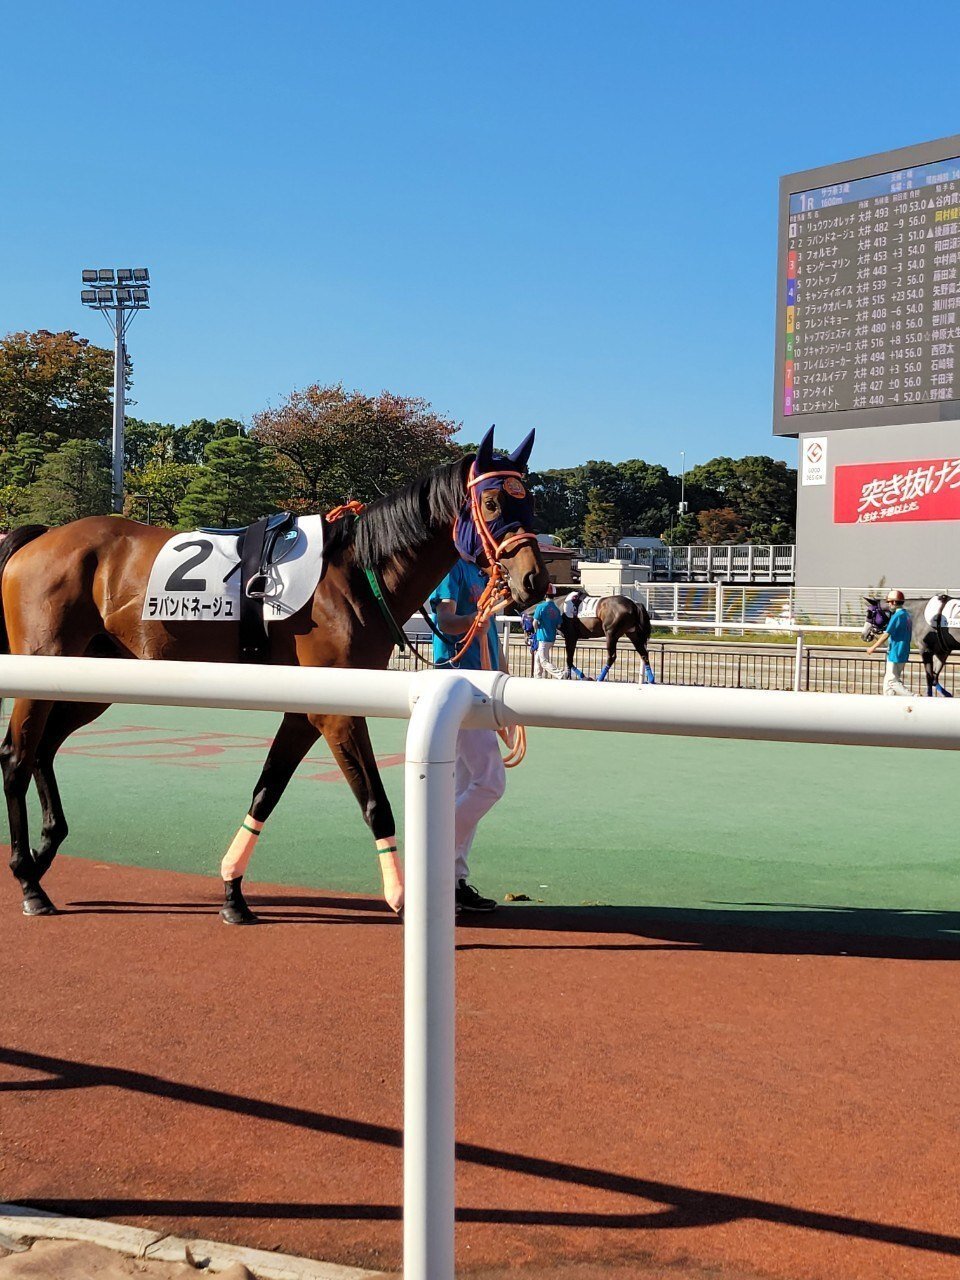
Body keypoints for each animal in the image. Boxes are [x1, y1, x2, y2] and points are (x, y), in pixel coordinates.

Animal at [0, 426, 549, 921]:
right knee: (17, 756)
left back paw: (46, 852)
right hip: (44, 661)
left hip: (92, 678)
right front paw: (399, 895)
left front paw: (232, 892)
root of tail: (40, 536)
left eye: (531, 506)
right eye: (494, 504)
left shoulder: (306, 709)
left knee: (43, 748)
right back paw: (29, 880)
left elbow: (267, 789)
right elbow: (374, 800)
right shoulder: (335, 710)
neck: (357, 573)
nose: (535, 580)